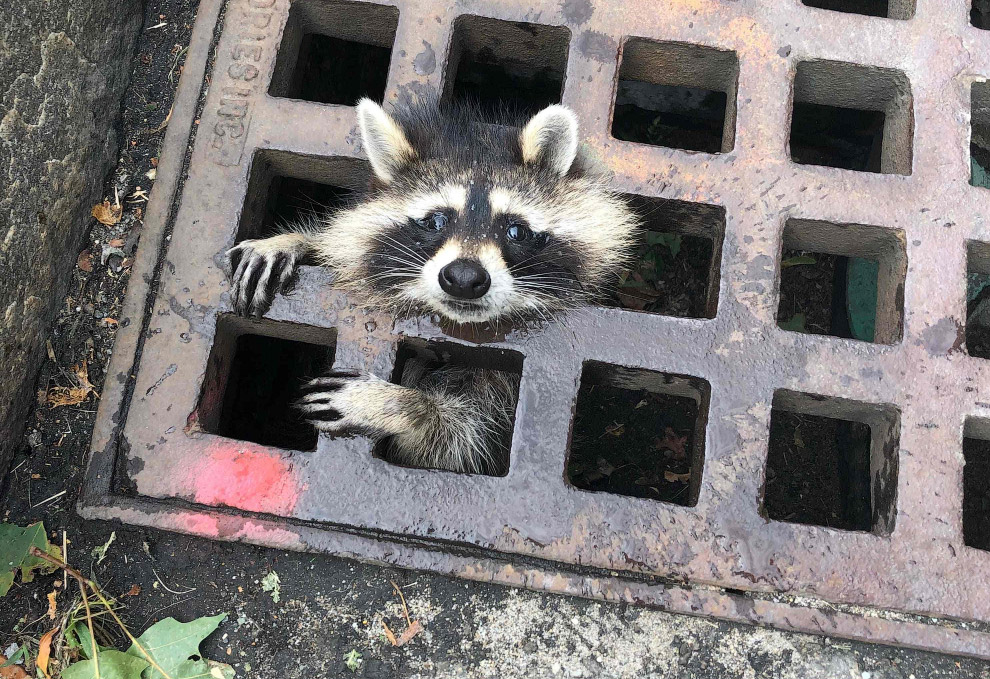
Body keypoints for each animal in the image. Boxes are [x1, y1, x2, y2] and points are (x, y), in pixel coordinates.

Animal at [228, 99, 640, 472]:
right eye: (436, 221)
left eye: (516, 230)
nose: (464, 278)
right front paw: (296, 240)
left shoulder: (499, 398)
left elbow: (459, 438)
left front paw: (402, 405)